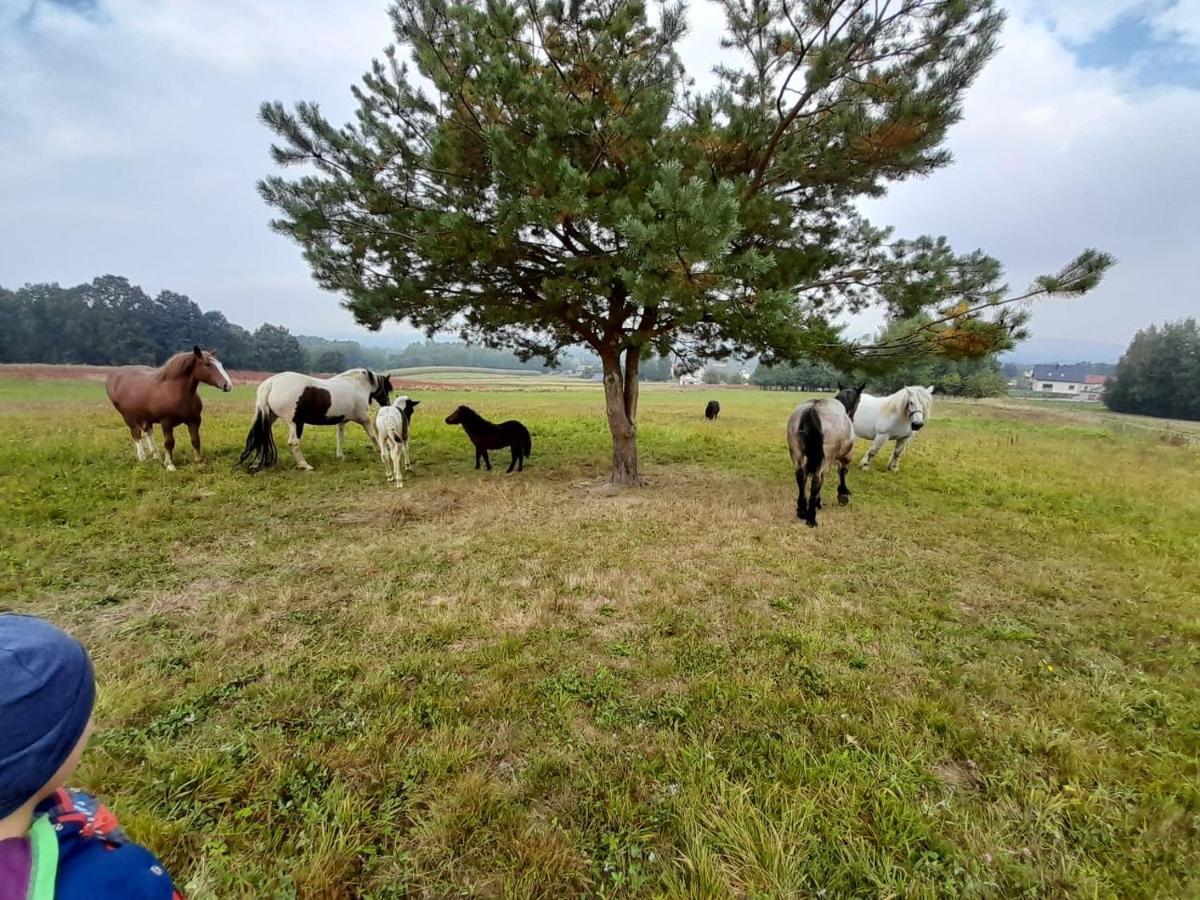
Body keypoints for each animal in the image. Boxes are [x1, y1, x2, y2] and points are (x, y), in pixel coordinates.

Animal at [105, 345, 234, 472]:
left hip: (146, 417)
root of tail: (113, 375)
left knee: (148, 432)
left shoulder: (195, 420)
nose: (228, 385)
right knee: (136, 434)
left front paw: (199, 462)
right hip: (128, 416)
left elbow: (196, 440)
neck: (174, 389)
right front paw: (169, 464)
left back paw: (155, 455)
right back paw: (142, 457)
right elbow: (169, 443)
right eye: (207, 364)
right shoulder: (166, 422)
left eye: (220, 364)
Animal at [241, 369, 391, 475]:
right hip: (296, 423)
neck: (356, 385)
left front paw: (340, 456)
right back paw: (304, 465)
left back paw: (257, 463)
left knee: (260, 436)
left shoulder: (341, 421)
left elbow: (340, 438)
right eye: (387, 389)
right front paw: (380, 450)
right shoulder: (363, 419)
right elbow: (373, 435)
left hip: (270, 418)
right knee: (294, 443)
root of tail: (271, 383)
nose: (387, 404)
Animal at [787, 386, 864, 528]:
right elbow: (842, 473)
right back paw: (811, 518)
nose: (853, 418)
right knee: (817, 480)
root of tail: (812, 408)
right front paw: (843, 495)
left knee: (801, 476)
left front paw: (817, 502)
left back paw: (802, 510)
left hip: (797, 453)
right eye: (859, 401)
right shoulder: (845, 457)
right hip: (827, 458)